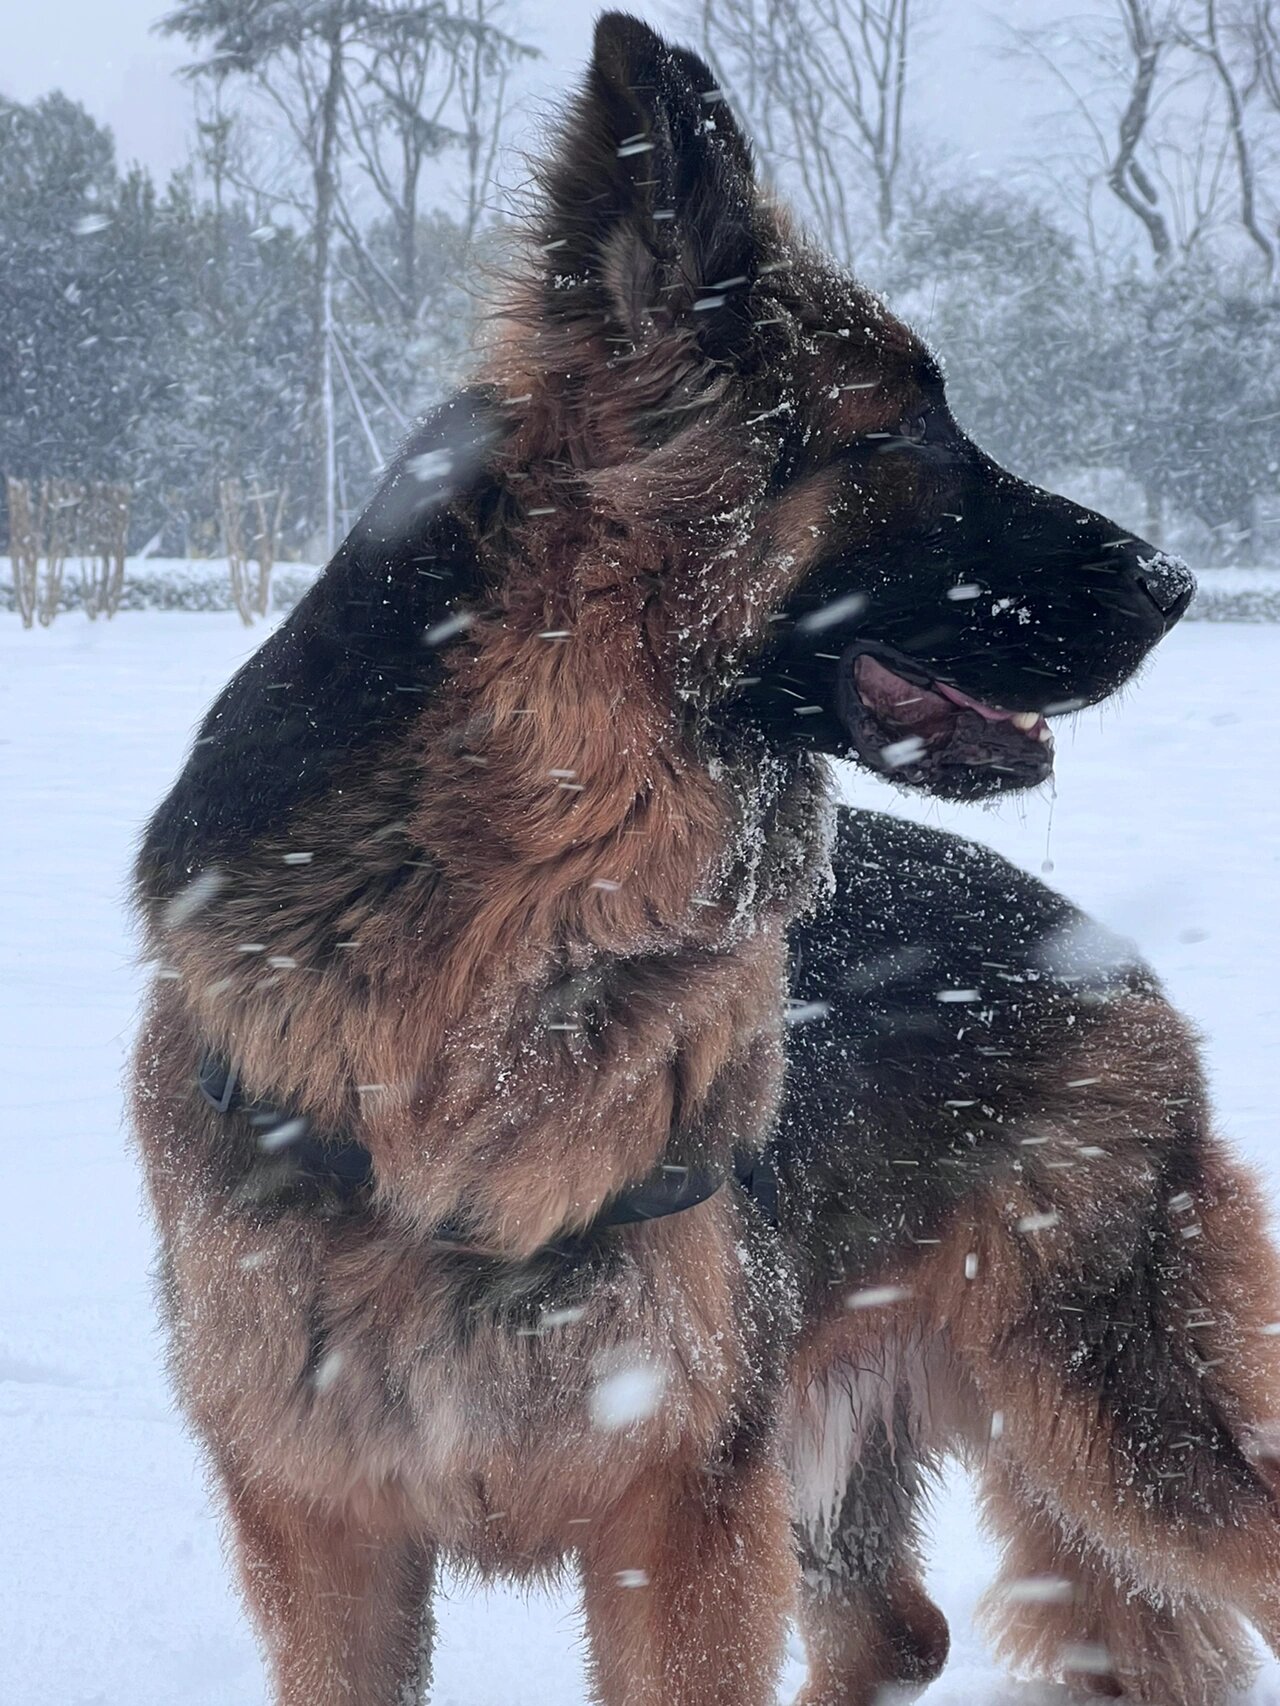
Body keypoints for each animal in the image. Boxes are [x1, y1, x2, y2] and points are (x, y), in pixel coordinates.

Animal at [133, 13, 1280, 1706]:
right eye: (900, 431)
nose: (1181, 580)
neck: (509, 929)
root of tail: (1109, 956)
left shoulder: (677, 1501)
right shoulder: (326, 1526)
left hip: (1111, 1427)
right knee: (899, 1625)